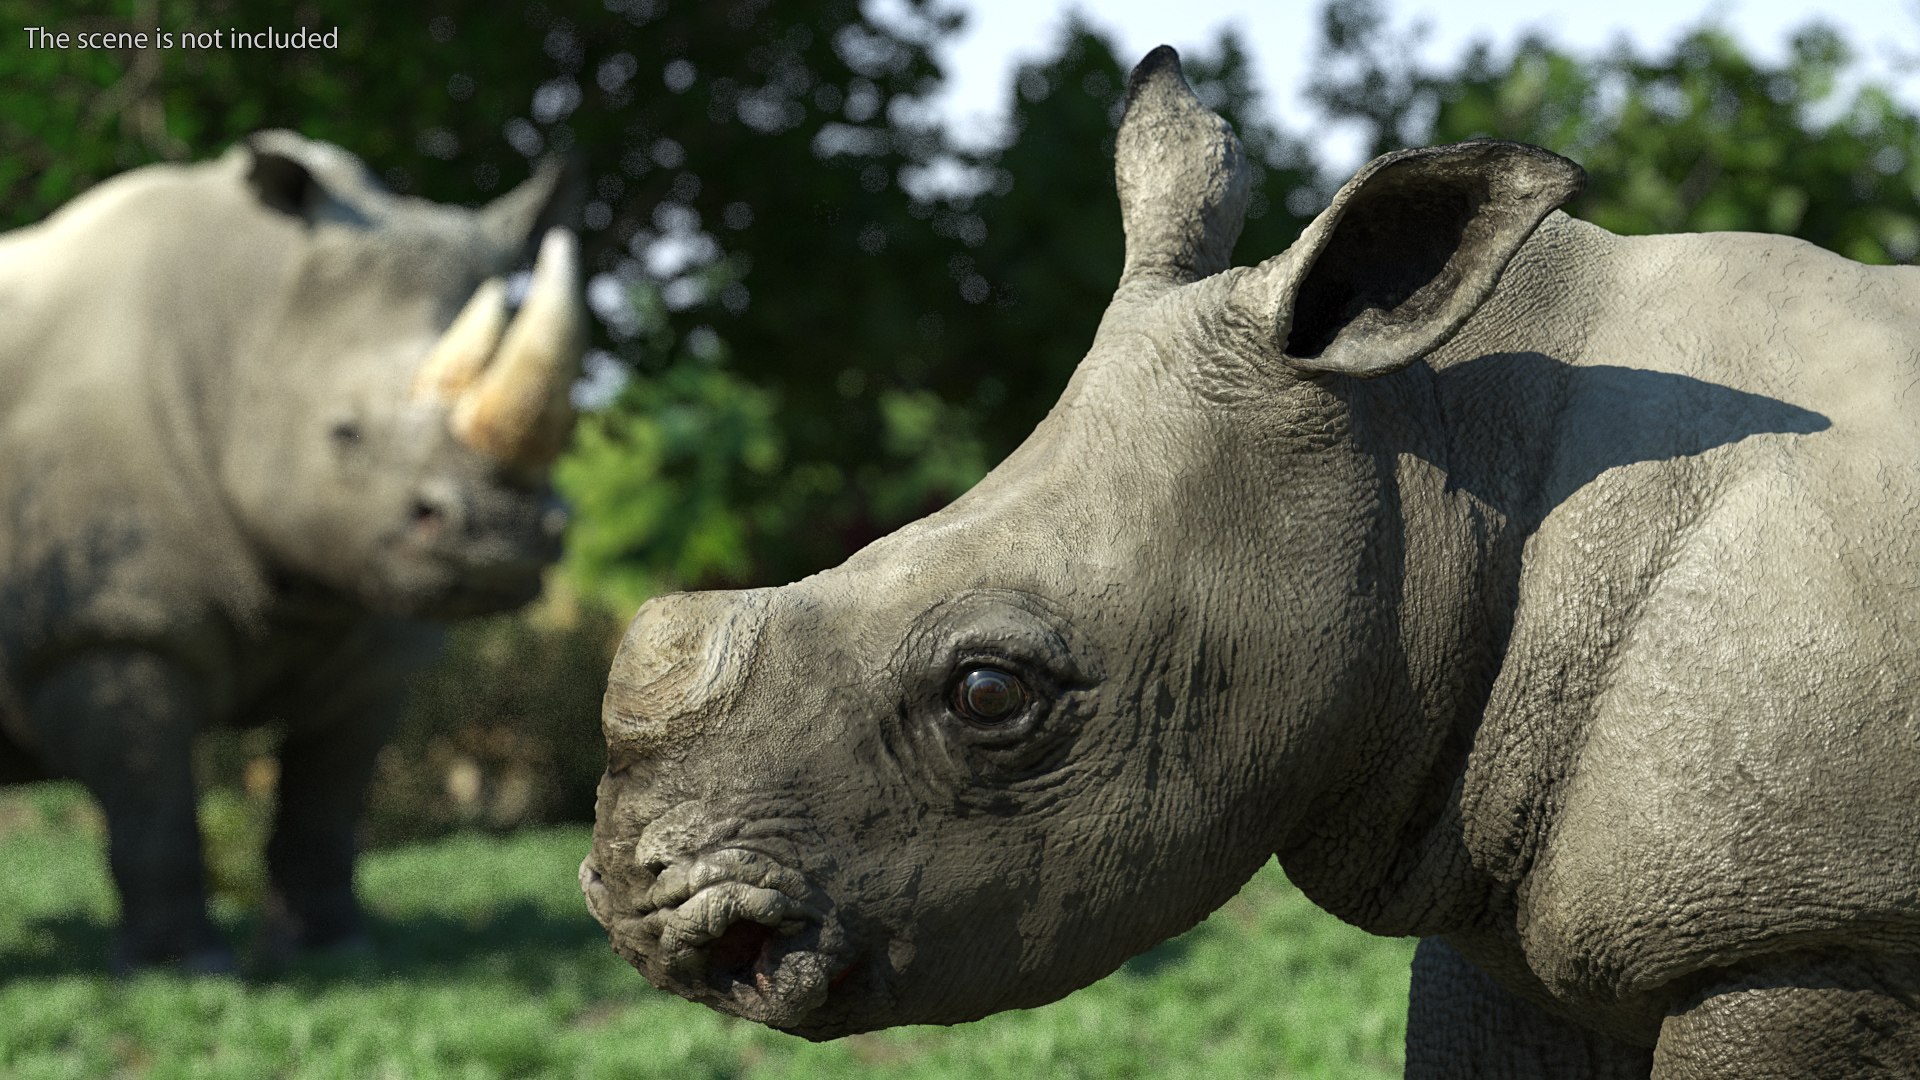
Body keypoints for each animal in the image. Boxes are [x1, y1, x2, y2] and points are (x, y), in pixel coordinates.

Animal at [0, 132, 585, 972]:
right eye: (343, 433)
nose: (501, 539)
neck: (241, 328)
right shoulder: (108, 624)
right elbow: (151, 801)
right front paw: (186, 968)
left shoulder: (373, 625)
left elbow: (329, 798)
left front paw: (333, 951)